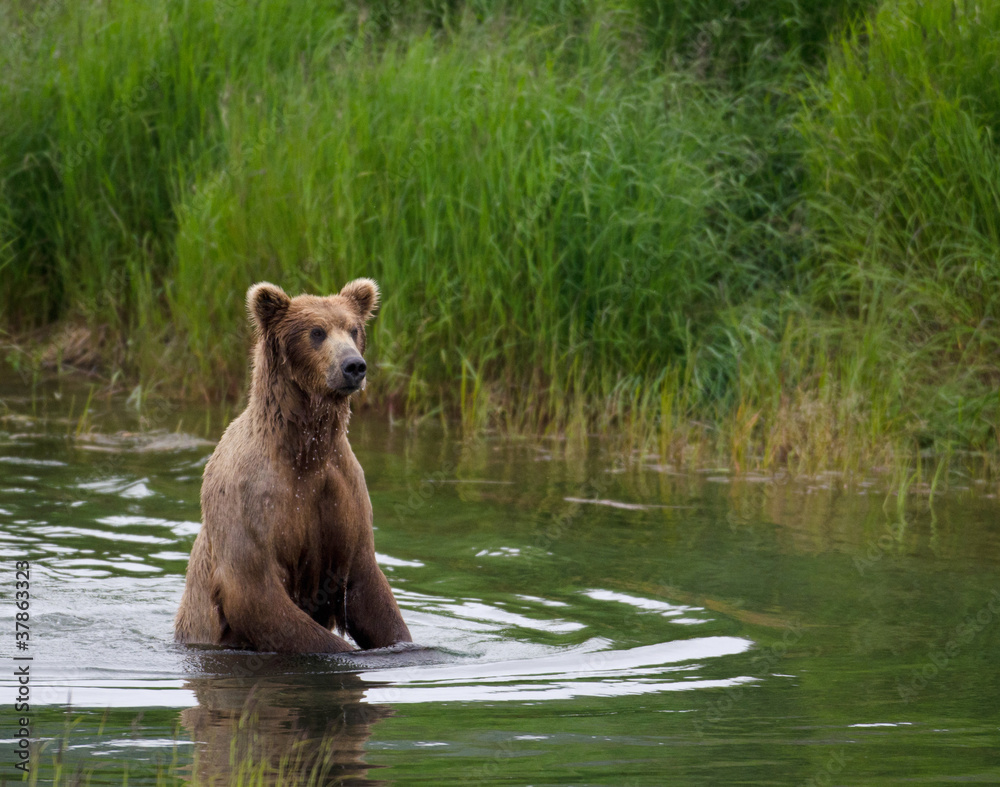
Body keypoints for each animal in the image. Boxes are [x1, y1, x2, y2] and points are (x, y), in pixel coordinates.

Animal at [174, 279, 412, 653]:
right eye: (316, 332)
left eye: (353, 329)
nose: (354, 366)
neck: (304, 452)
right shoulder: (252, 500)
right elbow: (258, 595)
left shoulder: (344, 491)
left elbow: (368, 587)